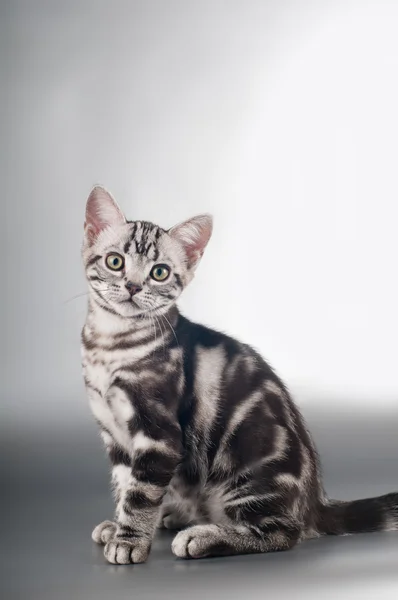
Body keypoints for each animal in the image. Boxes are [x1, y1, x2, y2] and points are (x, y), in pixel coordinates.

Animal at [81, 185, 398, 564]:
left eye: (159, 272)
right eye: (115, 262)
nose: (132, 286)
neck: (111, 343)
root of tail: (313, 503)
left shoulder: (158, 433)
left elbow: (141, 493)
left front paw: (129, 541)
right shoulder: (114, 435)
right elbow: (125, 485)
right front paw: (119, 526)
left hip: (248, 466)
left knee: (281, 533)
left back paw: (203, 537)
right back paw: (178, 515)